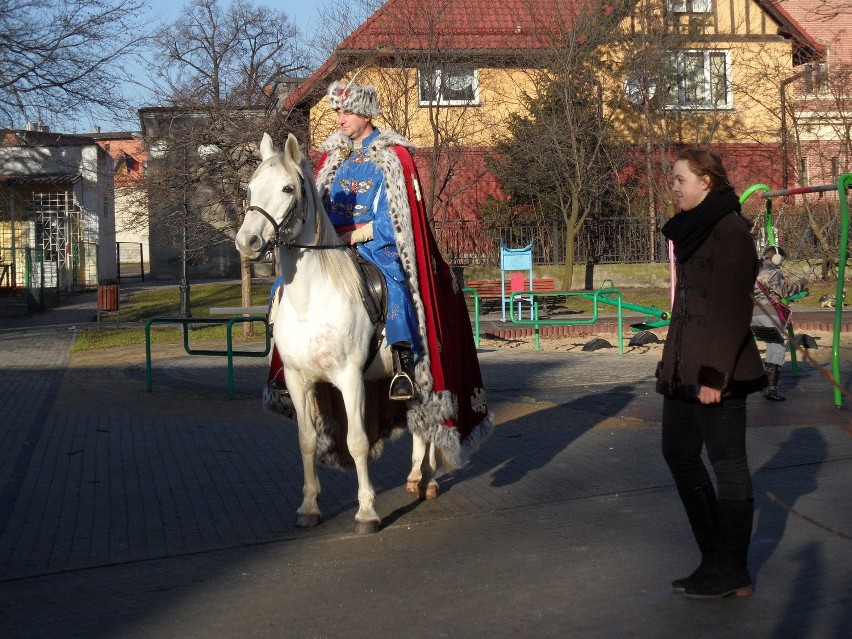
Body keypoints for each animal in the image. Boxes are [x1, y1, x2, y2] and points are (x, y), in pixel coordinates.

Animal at [235, 134, 440, 536]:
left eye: (287, 188)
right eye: (250, 187)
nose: (246, 241)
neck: (311, 300)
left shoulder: (349, 378)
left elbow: (357, 442)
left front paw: (367, 513)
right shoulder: (299, 381)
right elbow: (307, 441)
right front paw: (308, 508)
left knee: (432, 419)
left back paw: (431, 479)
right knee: (416, 418)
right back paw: (414, 478)